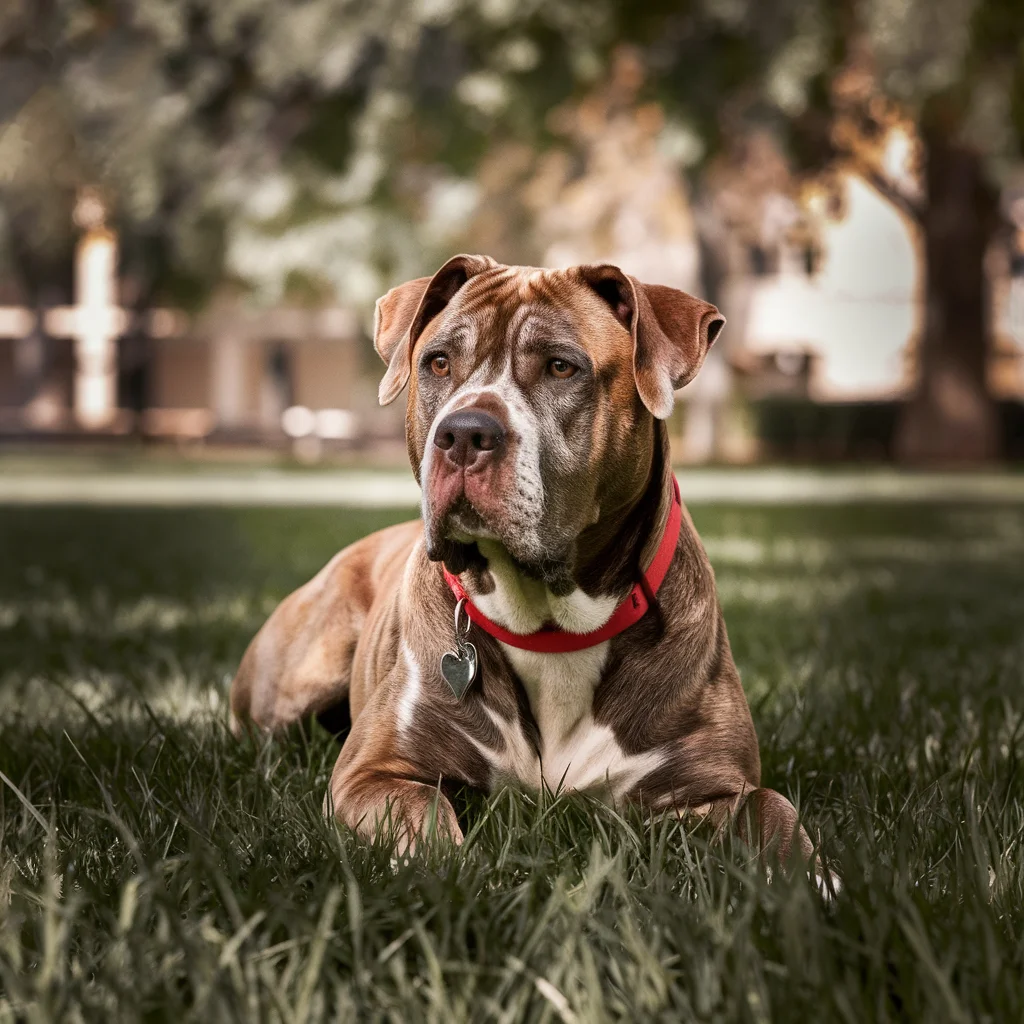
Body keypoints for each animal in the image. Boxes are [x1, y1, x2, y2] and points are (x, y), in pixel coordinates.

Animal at [230, 253, 815, 872]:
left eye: (561, 367)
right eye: (439, 362)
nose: (463, 432)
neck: (551, 623)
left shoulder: (715, 785)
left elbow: (773, 809)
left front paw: (813, 878)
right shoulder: (371, 774)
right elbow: (424, 818)